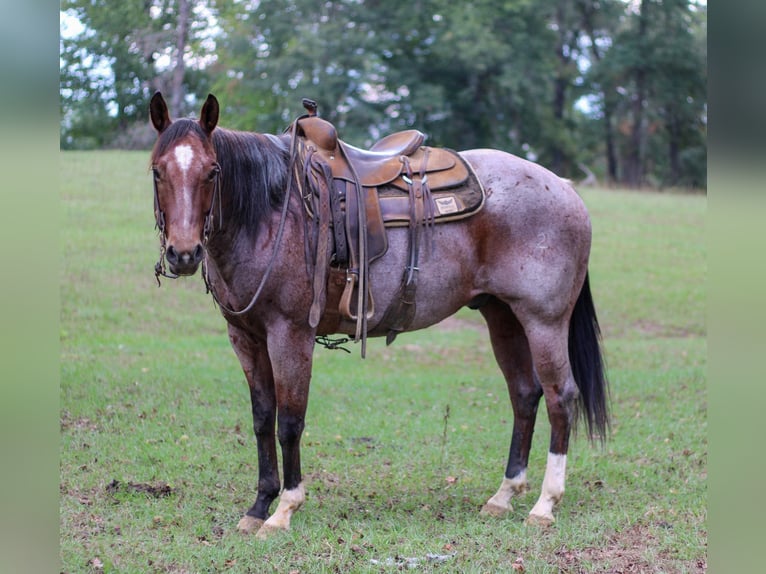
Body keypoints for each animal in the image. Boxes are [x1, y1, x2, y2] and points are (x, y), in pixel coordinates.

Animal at [147, 91, 608, 540]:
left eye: (212, 171)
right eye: (157, 171)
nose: (184, 253)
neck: (271, 212)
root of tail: (564, 187)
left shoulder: (289, 334)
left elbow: (290, 422)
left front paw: (284, 510)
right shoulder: (245, 336)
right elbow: (262, 418)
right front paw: (259, 507)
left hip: (544, 321)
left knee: (560, 397)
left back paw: (545, 505)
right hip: (503, 316)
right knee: (524, 394)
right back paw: (504, 495)